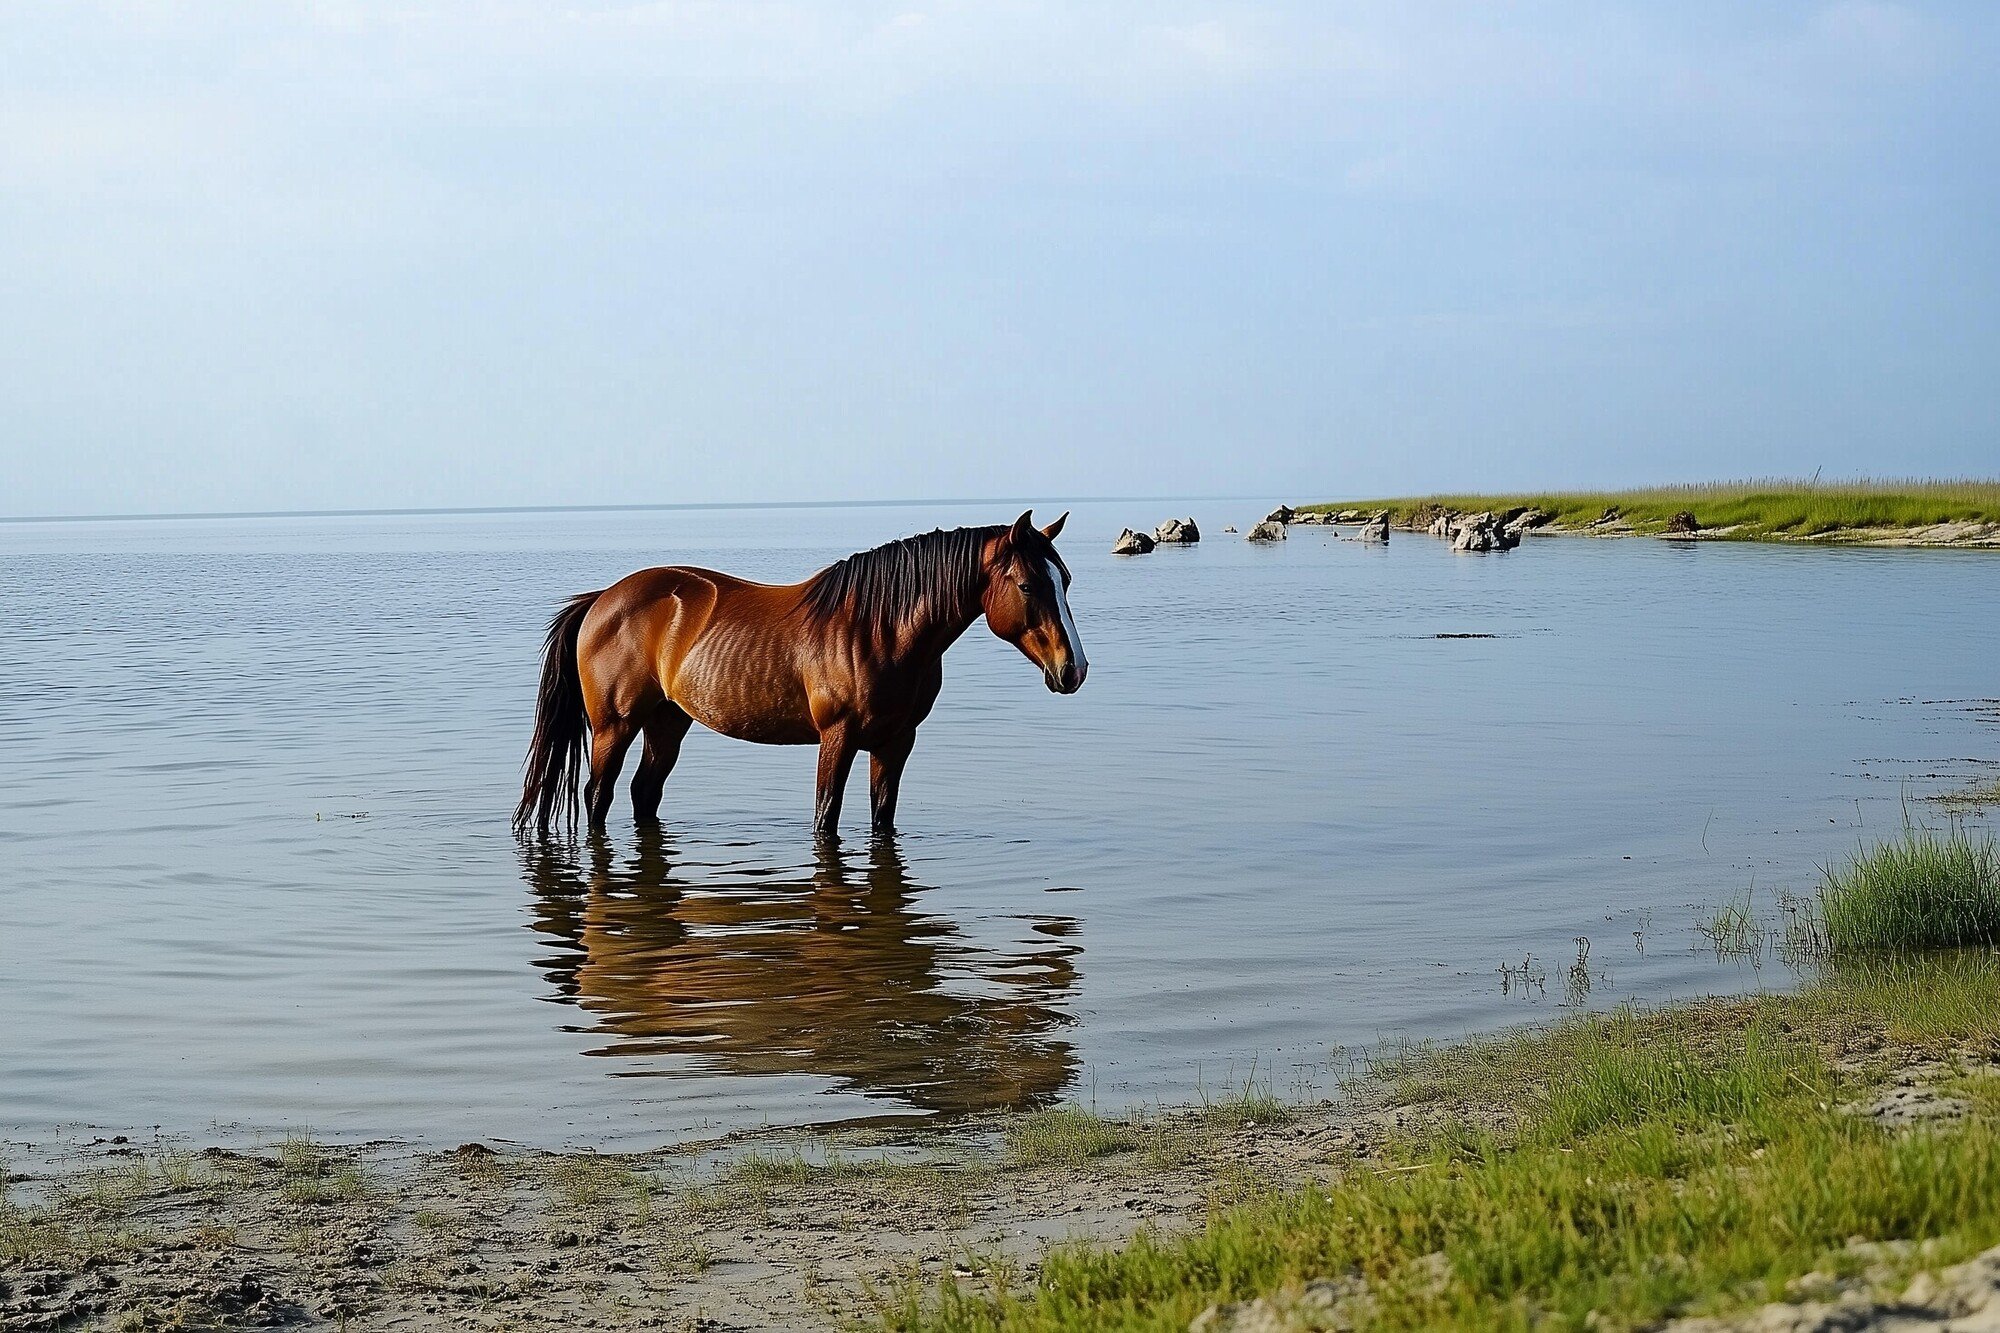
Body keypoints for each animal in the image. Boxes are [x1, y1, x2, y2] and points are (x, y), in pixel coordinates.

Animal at [508, 504, 1088, 836]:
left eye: (1065, 580)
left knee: (642, 794)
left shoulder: (896, 742)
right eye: (1030, 585)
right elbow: (825, 820)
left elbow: (882, 820)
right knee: (597, 797)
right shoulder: (838, 738)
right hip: (615, 726)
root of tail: (603, 598)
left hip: (667, 722)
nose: (1073, 669)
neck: (880, 629)